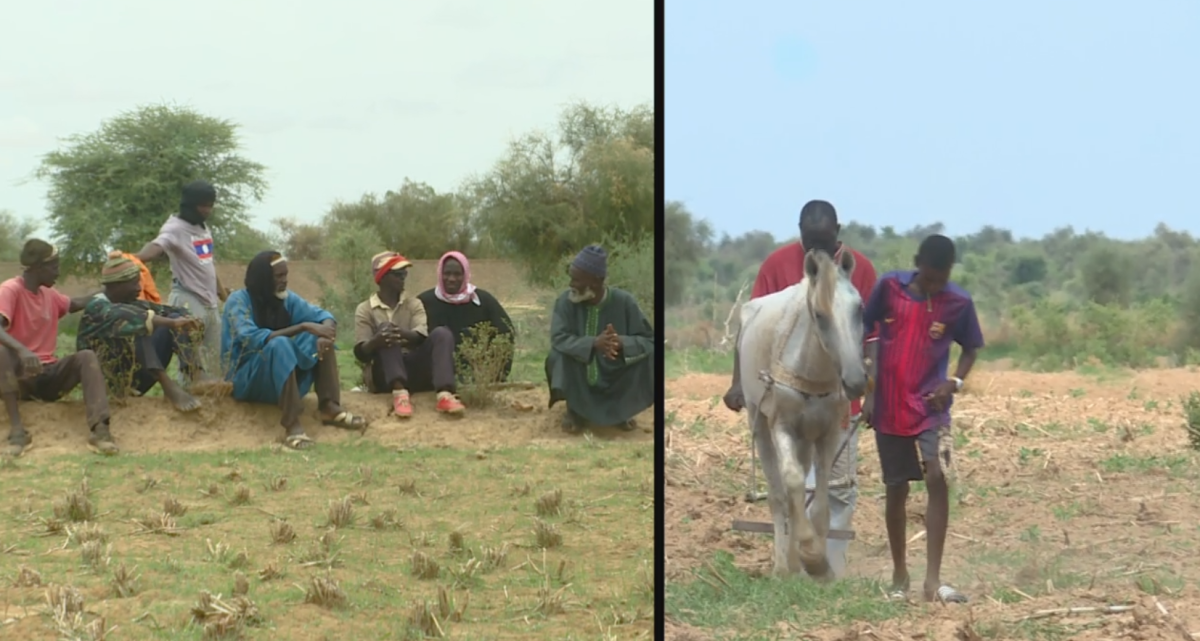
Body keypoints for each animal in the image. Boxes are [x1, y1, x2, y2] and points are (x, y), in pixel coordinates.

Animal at [734, 248, 868, 580]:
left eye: (859, 309)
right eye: (819, 315)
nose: (855, 381)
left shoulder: (829, 432)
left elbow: (819, 501)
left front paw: (819, 564)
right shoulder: (781, 426)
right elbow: (793, 482)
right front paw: (809, 553)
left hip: (806, 439)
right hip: (760, 426)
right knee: (778, 495)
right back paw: (785, 566)